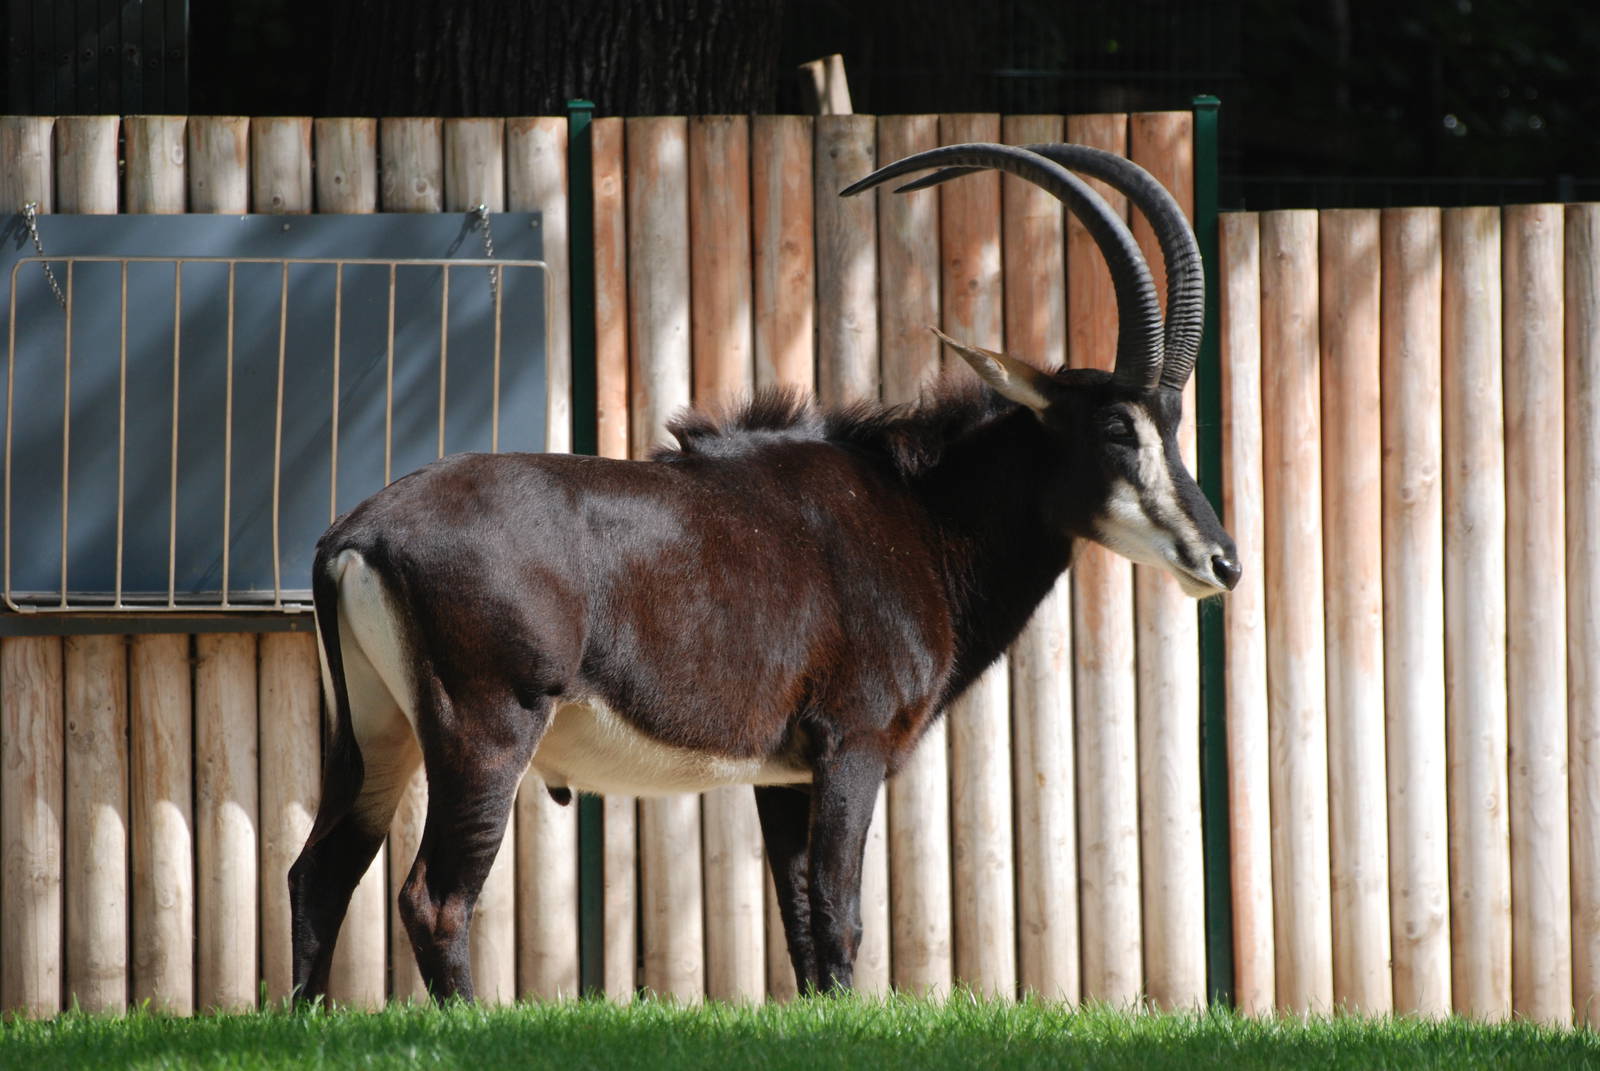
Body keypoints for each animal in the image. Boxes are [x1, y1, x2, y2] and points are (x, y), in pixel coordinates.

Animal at [288, 142, 1239, 1002]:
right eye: (1116, 426)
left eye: (1173, 421)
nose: (1222, 560)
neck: (918, 509)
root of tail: (354, 533)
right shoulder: (853, 744)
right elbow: (842, 912)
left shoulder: (786, 777)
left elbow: (801, 920)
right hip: (485, 731)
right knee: (435, 898)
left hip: (374, 732)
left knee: (319, 873)